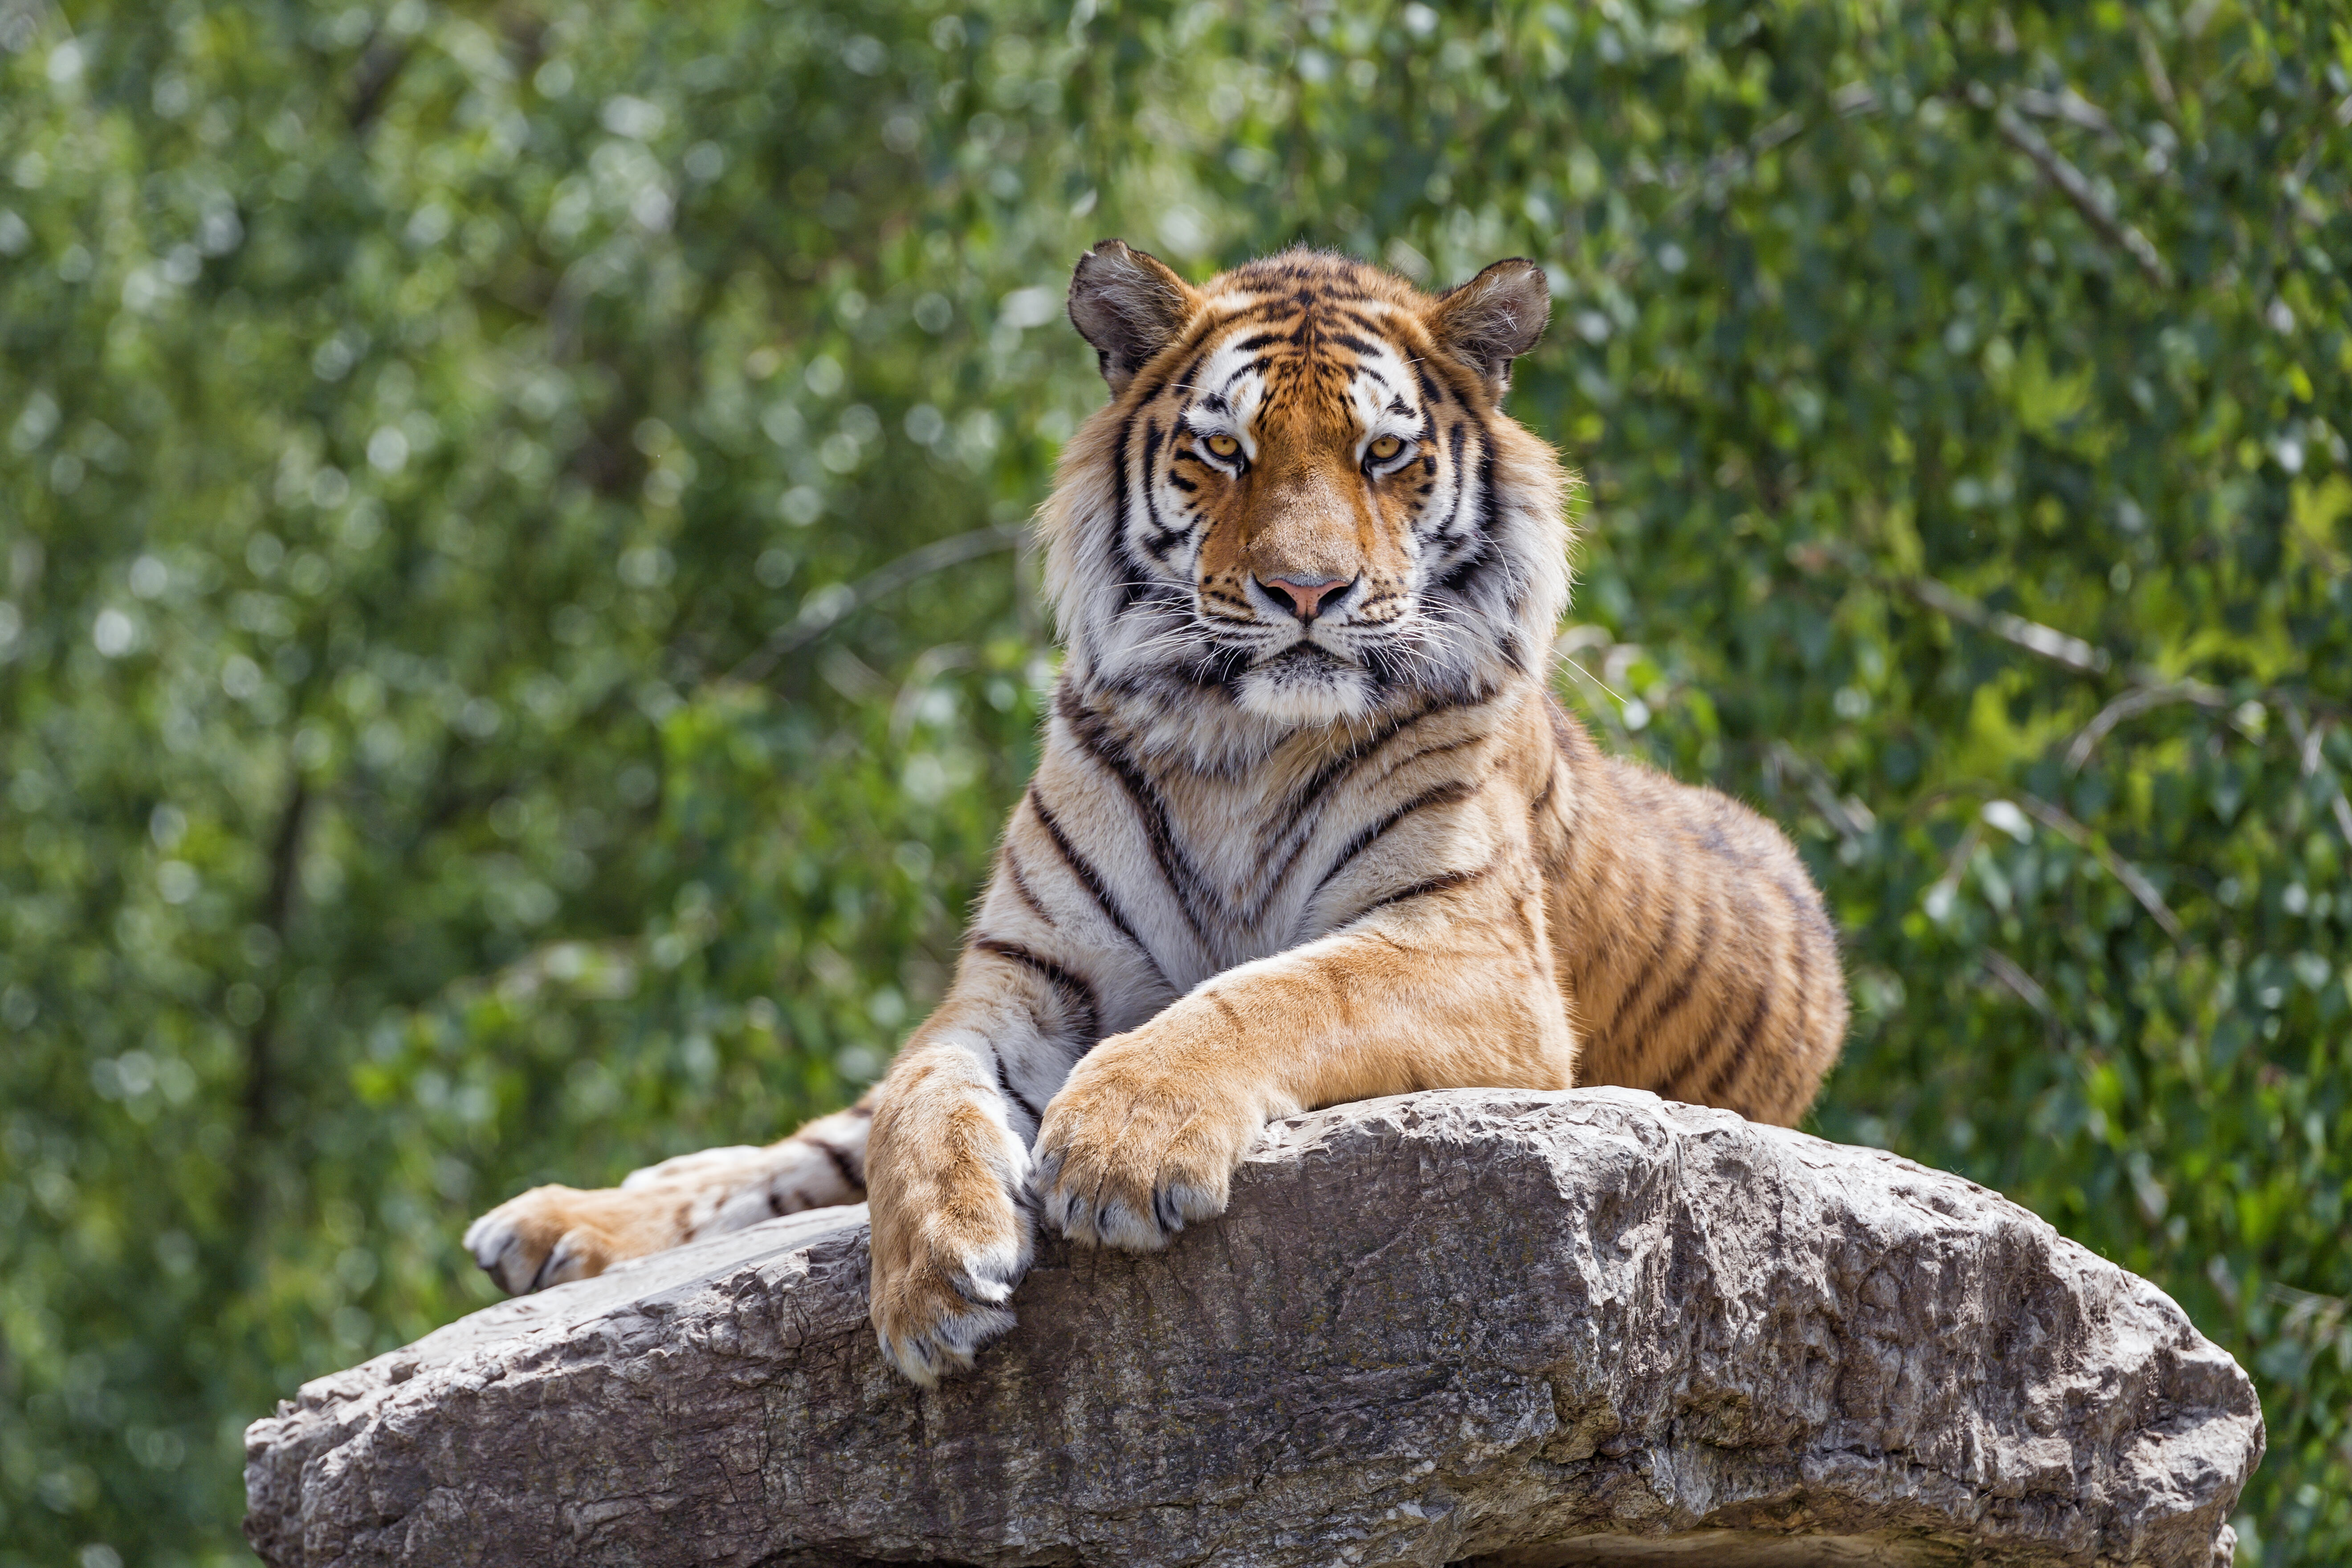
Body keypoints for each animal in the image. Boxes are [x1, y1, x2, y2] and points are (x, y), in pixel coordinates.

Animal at [463, 236, 1853, 1382]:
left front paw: (1119, 1146)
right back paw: (552, 1226)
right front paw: (930, 1279)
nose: (1308, 593)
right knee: (800, 1154)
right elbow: (921, 1097)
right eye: (1223, 450)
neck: (1238, 742)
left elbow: (1273, 992)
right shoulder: (1019, 979)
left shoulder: (1468, 954)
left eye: (1384, 456)